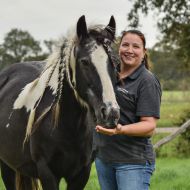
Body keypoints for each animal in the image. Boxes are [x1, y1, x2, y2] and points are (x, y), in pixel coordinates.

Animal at [0, 15, 119, 190]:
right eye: (84, 62)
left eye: (115, 63)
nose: (111, 113)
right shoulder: (47, 173)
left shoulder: (81, 174)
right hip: (7, 166)